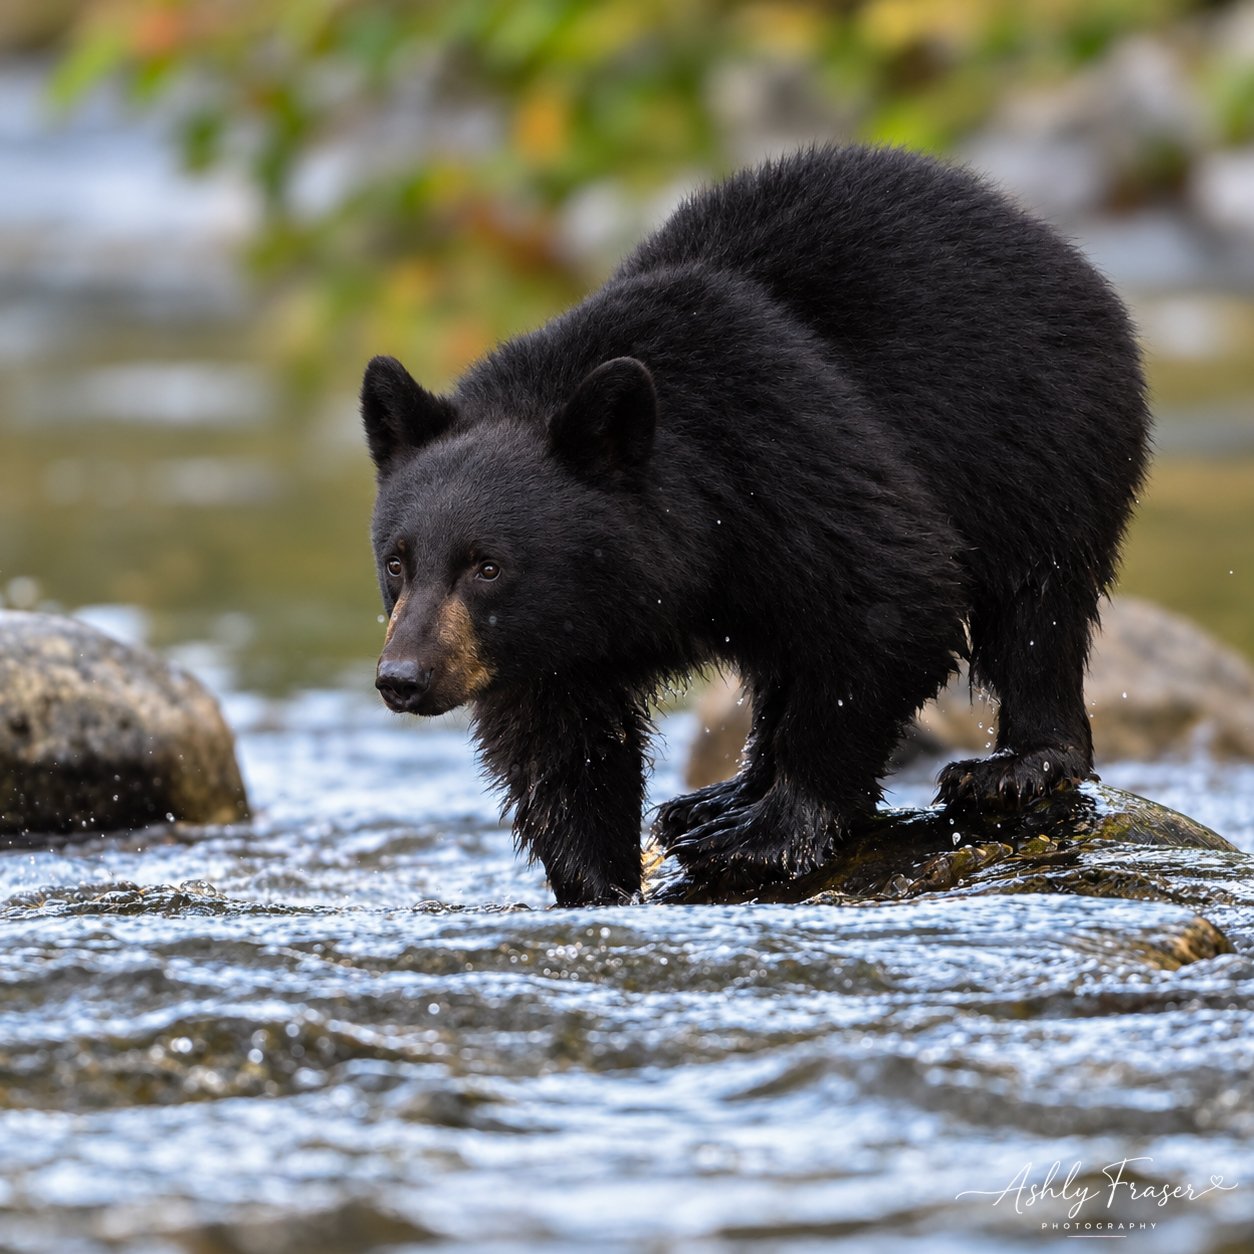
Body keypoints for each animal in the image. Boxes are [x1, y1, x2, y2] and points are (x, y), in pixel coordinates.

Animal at [361, 144, 1150, 906]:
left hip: (1044, 447)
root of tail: (1052, 243)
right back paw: (717, 797)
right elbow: (561, 742)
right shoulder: (553, 644)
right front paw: (600, 882)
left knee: (1037, 607)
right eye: (397, 561)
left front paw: (769, 834)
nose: (403, 677)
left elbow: (893, 598)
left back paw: (1016, 766)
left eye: (487, 565)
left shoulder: (779, 451)